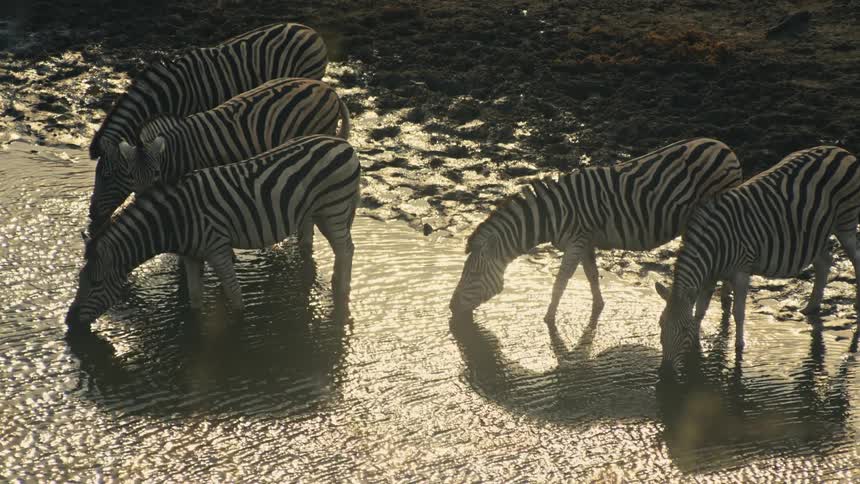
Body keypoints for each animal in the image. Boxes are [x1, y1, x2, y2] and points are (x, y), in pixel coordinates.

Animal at [66, 135, 360, 334]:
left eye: (95, 283)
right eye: (80, 279)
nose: (68, 321)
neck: (174, 220)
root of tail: (344, 144)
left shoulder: (217, 248)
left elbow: (235, 295)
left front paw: (239, 330)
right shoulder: (191, 255)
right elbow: (195, 298)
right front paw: (194, 329)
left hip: (333, 209)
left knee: (346, 249)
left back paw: (341, 290)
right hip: (320, 212)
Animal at [449, 138, 743, 324]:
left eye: (472, 274)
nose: (450, 307)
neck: (551, 214)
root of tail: (724, 146)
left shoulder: (576, 241)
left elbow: (561, 281)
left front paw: (548, 318)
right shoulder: (585, 240)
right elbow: (591, 275)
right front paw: (598, 307)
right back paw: (726, 300)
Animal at [656, 145, 860, 372]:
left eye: (682, 330)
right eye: (660, 324)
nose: (665, 374)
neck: (712, 248)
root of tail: (838, 149)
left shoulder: (741, 272)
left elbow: (738, 312)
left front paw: (738, 347)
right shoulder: (709, 276)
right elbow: (700, 310)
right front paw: (696, 346)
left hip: (845, 222)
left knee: (855, 258)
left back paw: (856, 304)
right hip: (815, 232)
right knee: (824, 262)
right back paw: (811, 307)